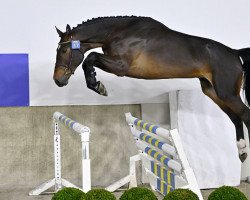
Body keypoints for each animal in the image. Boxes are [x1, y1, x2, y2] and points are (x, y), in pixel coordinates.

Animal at [53, 16, 250, 162]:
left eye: (63, 51)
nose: (58, 80)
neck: (117, 33)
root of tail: (234, 53)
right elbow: (90, 59)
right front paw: (97, 84)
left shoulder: (121, 67)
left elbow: (91, 58)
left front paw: (97, 85)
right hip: (213, 92)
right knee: (236, 118)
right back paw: (242, 152)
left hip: (227, 93)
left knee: (245, 115)